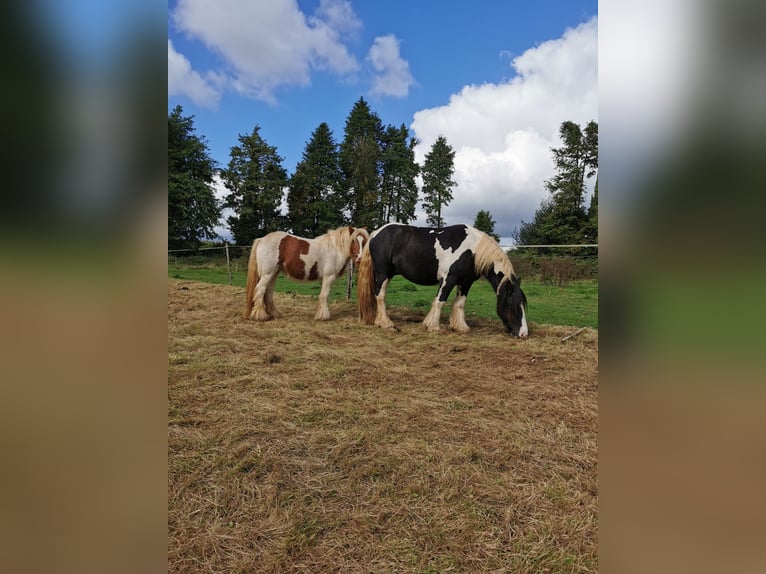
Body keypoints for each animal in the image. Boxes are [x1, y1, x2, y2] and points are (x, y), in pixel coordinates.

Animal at [358, 222, 528, 338]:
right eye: (512, 305)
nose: (524, 334)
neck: (473, 250)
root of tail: (376, 233)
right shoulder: (449, 278)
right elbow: (440, 301)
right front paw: (432, 326)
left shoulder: (466, 282)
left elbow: (460, 303)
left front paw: (460, 327)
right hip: (383, 273)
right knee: (380, 296)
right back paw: (386, 324)